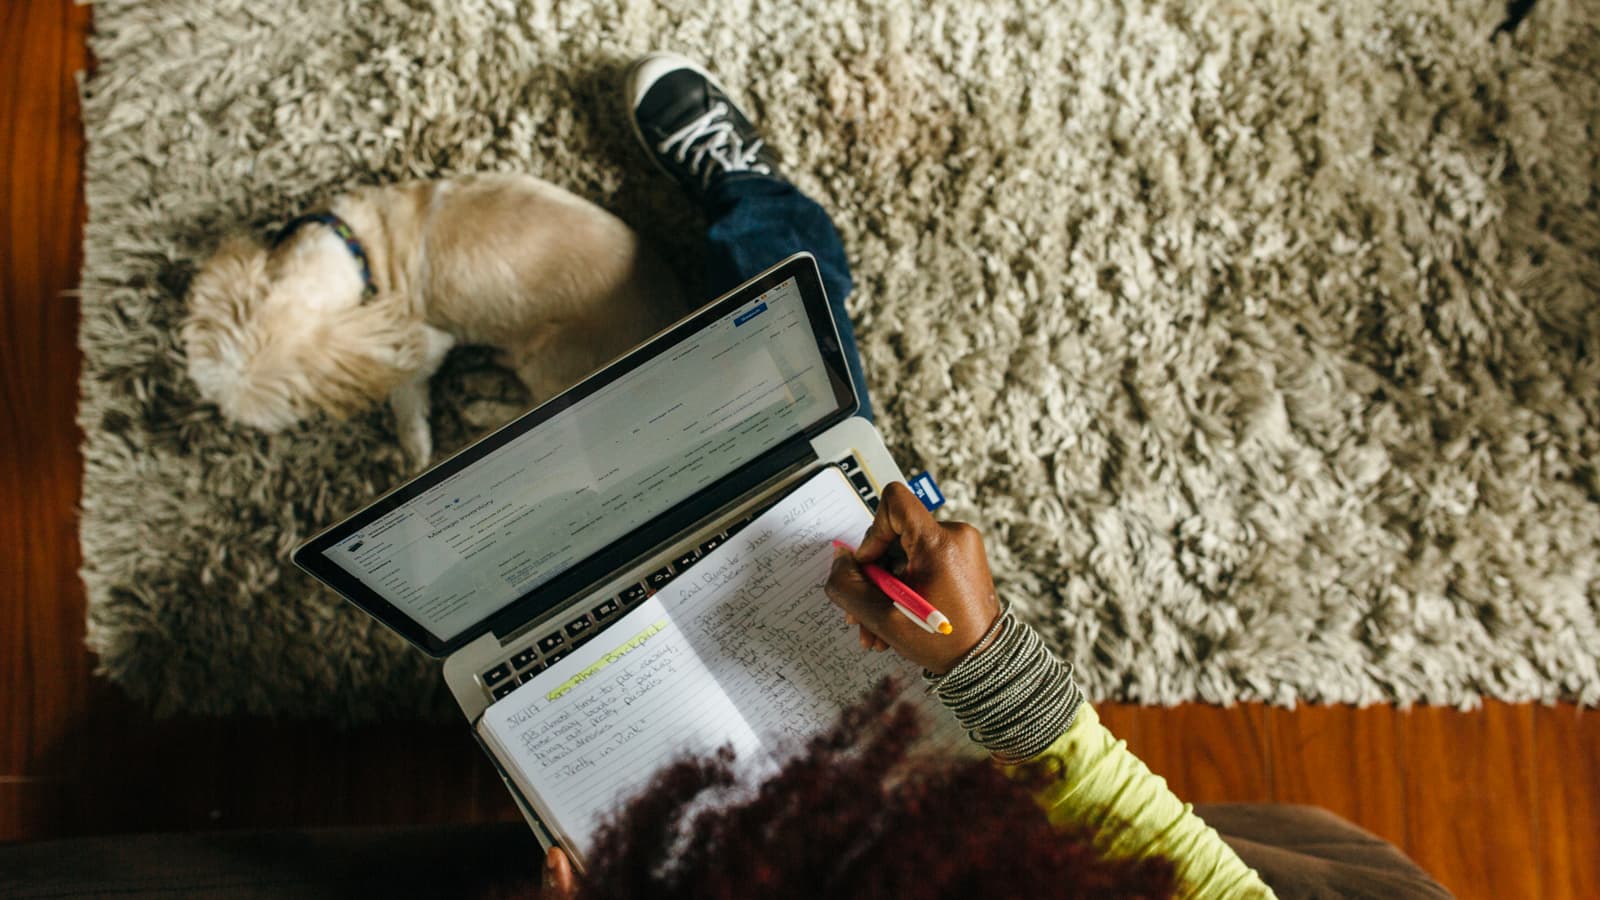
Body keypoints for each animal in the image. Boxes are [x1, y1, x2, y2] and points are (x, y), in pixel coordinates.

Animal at [184, 170, 684, 464]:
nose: (226, 421)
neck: (353, 250)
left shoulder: (421, 343)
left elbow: (405, 395)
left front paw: (414, 447)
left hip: (549, 357)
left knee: (546, 409)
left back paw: (483, 407)